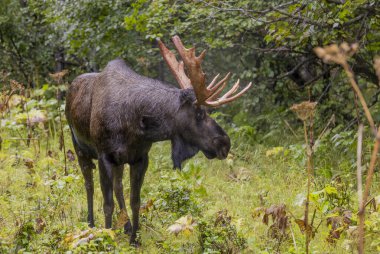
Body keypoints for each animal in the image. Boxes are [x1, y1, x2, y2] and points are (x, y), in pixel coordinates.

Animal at [64, 35, 252, 244]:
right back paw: (90, 224)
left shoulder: (140, 158)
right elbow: (107, 203)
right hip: (79, 147)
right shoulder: (105, 155)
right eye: (199, 113)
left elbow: (135, 200)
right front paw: (107, 236)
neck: (135, 125)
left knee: (118, 186)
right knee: (89, 185)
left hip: (119, 161)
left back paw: (126, 226)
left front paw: (134, 239)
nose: (225, 142)